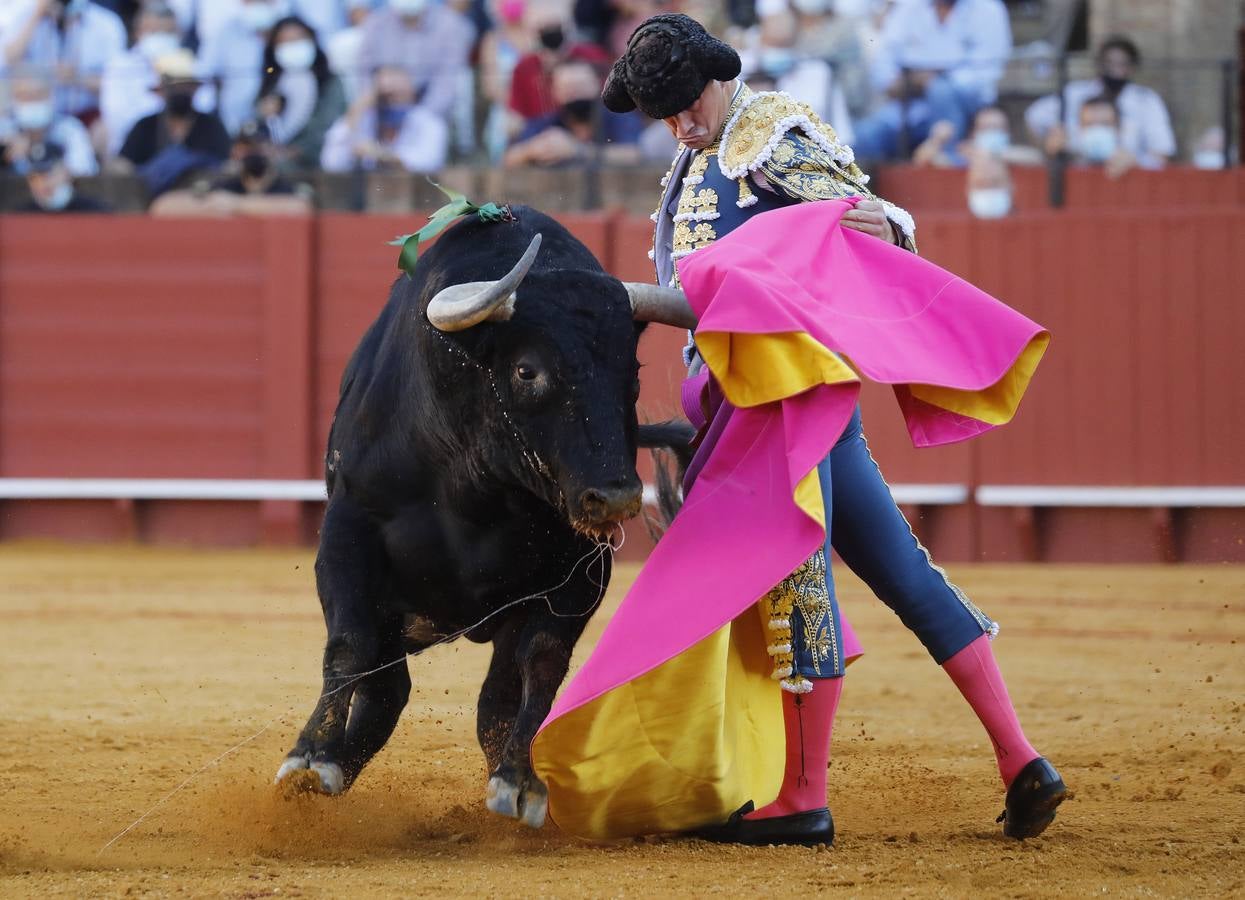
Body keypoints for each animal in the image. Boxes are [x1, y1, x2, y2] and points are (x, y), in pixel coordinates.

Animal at [273, 207, 697, 826]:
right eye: (526, 371)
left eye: (634, 373)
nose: (617, 497)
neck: (479, 489)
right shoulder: (349, 531)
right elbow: (349, 645)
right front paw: (310, 761)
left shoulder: (581, 570)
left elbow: (541, 664)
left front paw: (519, 781)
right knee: (385, 687)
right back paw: (334, 771)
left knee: (482, 695)